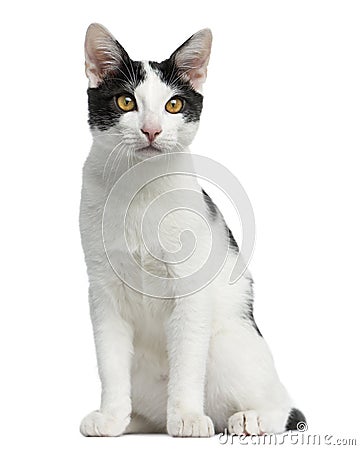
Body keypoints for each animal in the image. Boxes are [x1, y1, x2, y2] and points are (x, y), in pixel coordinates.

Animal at [80, 23, 306, 436]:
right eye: (125, 102)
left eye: (174, 105)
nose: (151, 130)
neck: (140, 188)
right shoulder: (102, 290)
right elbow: (110, 362)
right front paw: (111, 416)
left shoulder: (191, 290)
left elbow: (186, 360)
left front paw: (185, 416)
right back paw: (136, 419)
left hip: (232, 345)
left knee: (284, 406)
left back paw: (251, 418)